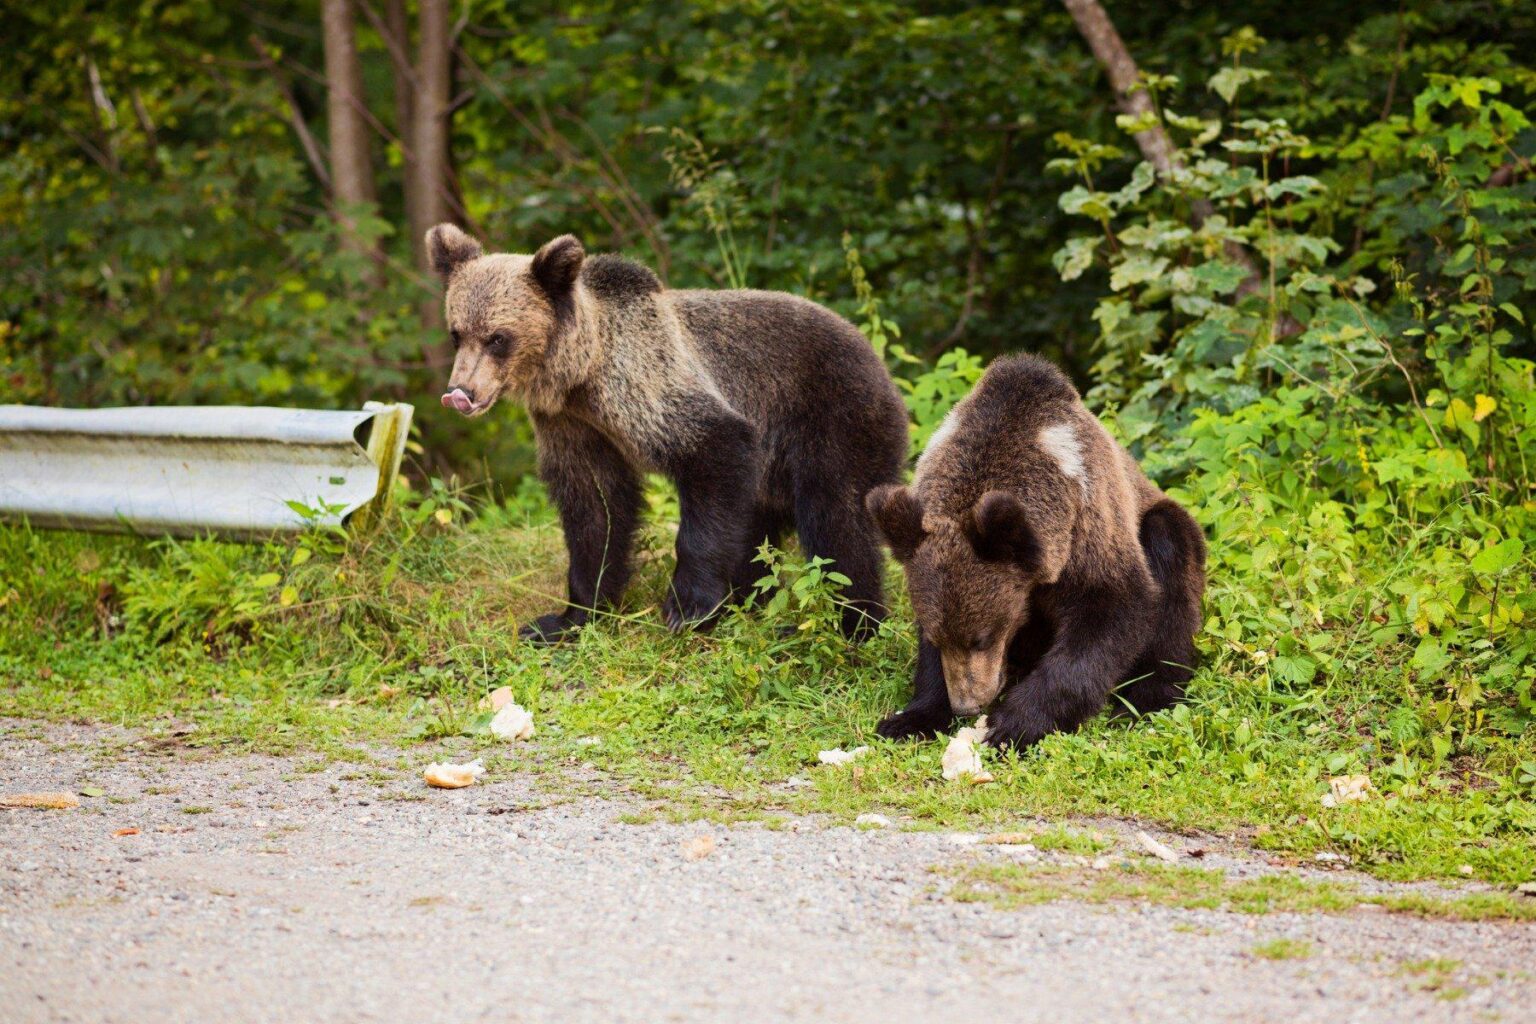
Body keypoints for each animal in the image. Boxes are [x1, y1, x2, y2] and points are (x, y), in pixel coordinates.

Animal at [427, 223, 909, 642]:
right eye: (457, 334)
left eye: (497, 337)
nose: (460, 392)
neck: (581, 375)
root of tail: (878, 361)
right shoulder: (574, 426)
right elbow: (595, 511)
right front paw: (565, 618)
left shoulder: (648, 386)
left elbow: (715, 450)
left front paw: (687, 606)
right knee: (761, 528)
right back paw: (749, 602)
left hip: (832, 417)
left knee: (837, 520)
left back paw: (852, 624)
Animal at [864, 353, 1206, 750]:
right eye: (938, 637)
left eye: (983, 637)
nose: (967, 705)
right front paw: (910, 718)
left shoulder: (1088, 525)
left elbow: (1110, 612)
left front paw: (1013, 723)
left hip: (1160, 523)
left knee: (1170, 564)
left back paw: (1148, 698)